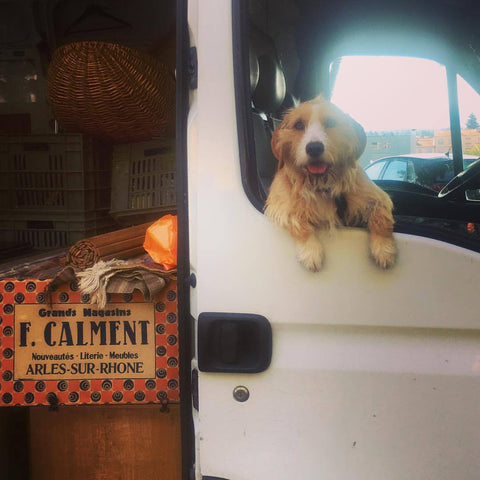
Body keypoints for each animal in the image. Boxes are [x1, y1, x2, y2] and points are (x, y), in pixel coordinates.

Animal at [264, 95, 396, 272]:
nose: (314, 148)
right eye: (298, 125)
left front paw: (384, 249)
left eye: (331, 122)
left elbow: (381, 217)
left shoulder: (377, 197)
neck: (322, 184)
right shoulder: (281, 207)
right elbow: (299, 221)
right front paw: (310, 252)